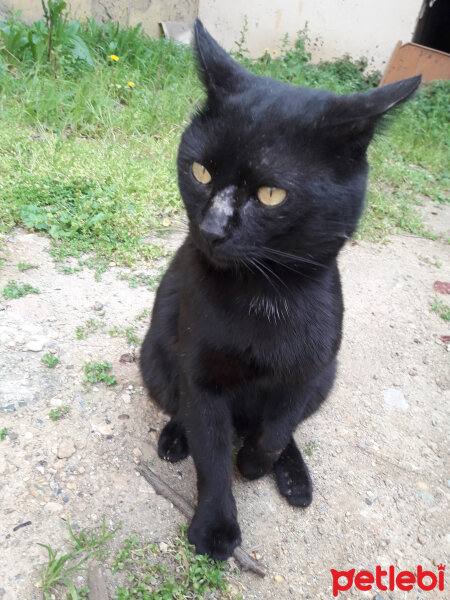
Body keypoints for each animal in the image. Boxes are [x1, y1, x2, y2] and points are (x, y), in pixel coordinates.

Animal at [139, 19, 420, 564]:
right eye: (200, 171)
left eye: (271, 194)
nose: (212, 228)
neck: (264, 294)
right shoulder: (200, 376)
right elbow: (211, 451)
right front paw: (216, 527)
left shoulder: (308, 370)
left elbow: (275, 429)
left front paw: (255, 464)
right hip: (155, 358)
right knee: (181, 409)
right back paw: (175, 437)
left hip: (328, 377)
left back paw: (294, 477)